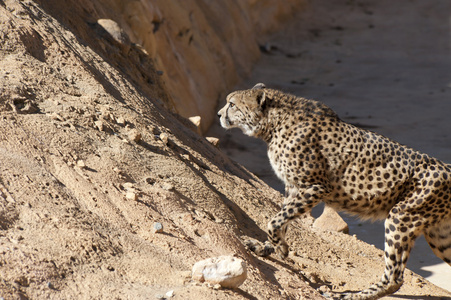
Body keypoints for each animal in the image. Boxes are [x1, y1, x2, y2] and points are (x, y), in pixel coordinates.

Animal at [218, 83, 451, 298]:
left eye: (232, 104)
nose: (219, 114)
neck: (274, 123)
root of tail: (446, 167)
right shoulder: (293, 188)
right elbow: (280, 221)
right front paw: (268, 247)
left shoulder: (316, 187)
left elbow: (274, 221)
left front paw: (282, 250)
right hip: (439, 235)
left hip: (401, 217)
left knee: (394, 277)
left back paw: (350, 295)